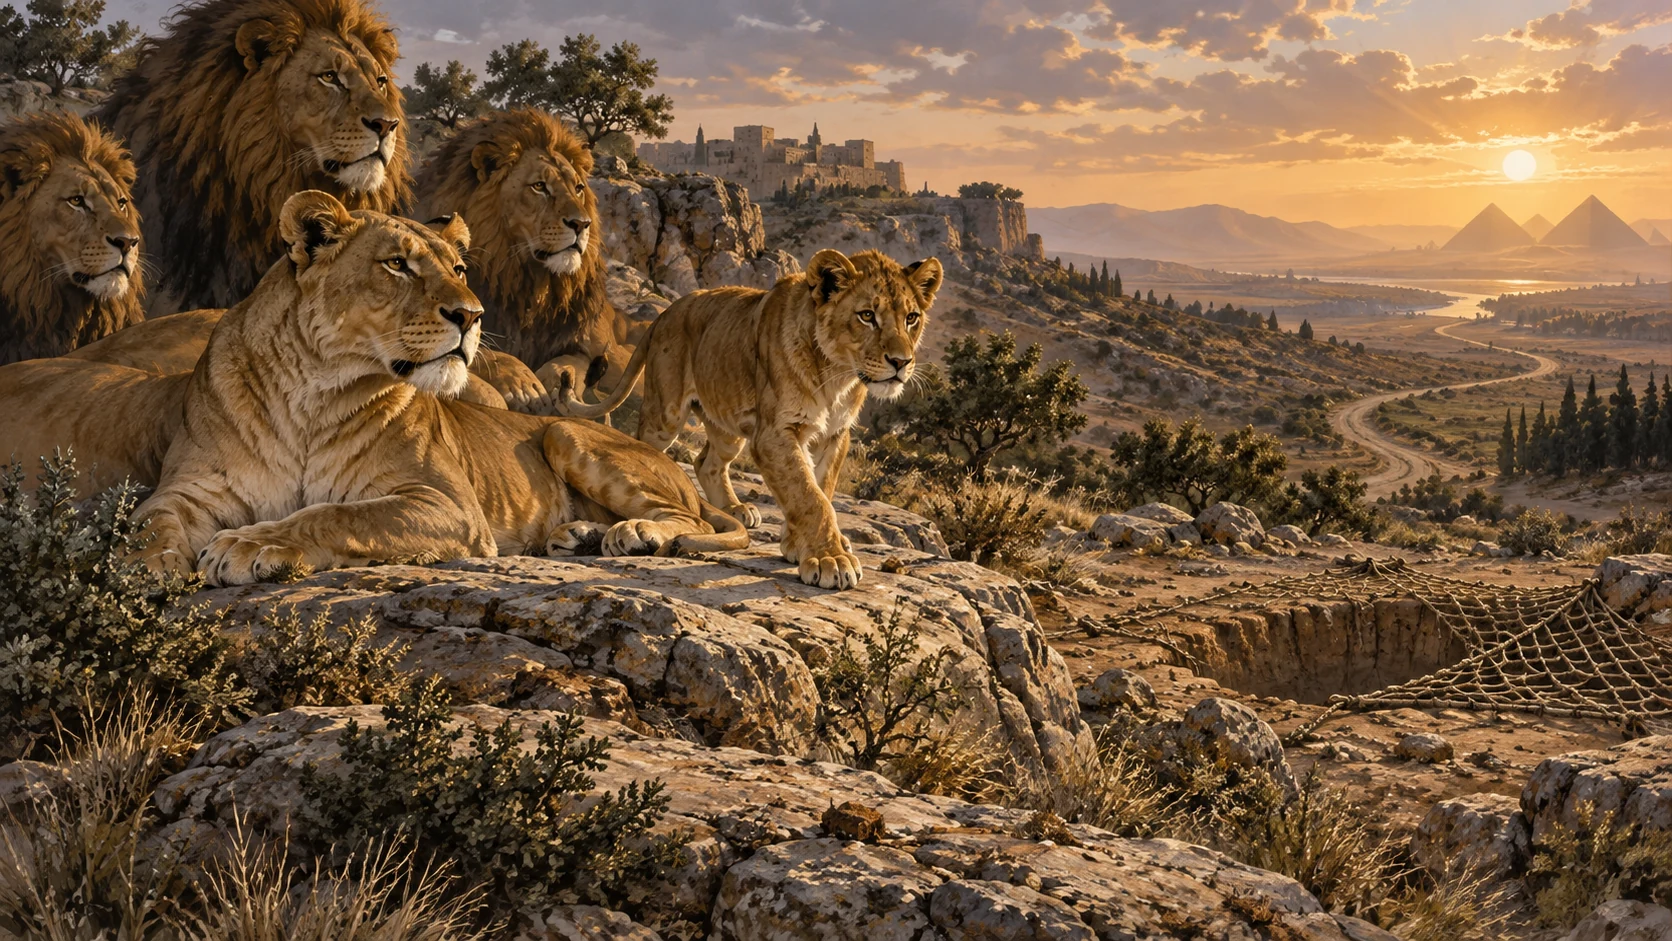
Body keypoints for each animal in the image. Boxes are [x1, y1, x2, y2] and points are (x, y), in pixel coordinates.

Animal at [132, 191, 747, 586]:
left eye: (459, 268)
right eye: (397, 264)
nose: (471, 316)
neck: (313, 393)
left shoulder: (448, 503)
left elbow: (336, 515)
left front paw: (251, 544)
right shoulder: (188, 489)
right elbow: (149, 521)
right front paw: (144, 568)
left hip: (566, 435)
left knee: (696, 523)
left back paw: (636, 532)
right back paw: (579, 535)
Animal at [414, 109, 631, 401]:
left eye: (578, 188)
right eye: (539, 186)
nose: (582, 224)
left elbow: (571, 362)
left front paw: (555, 382)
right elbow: (486, 353)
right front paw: (522, 385)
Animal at [556, 249, 940, 590]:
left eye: (911, 318)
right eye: (867, 315)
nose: (901, 362)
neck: (837, 375)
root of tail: (666, 312)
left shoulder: (835, 434)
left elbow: (821, 487)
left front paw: (798, 544)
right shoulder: (774, 433)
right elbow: (809, 496)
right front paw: (830, 559)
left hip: (727, 425)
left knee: (707, 462)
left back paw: (736, 509)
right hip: (664, 415)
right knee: (650, 454)